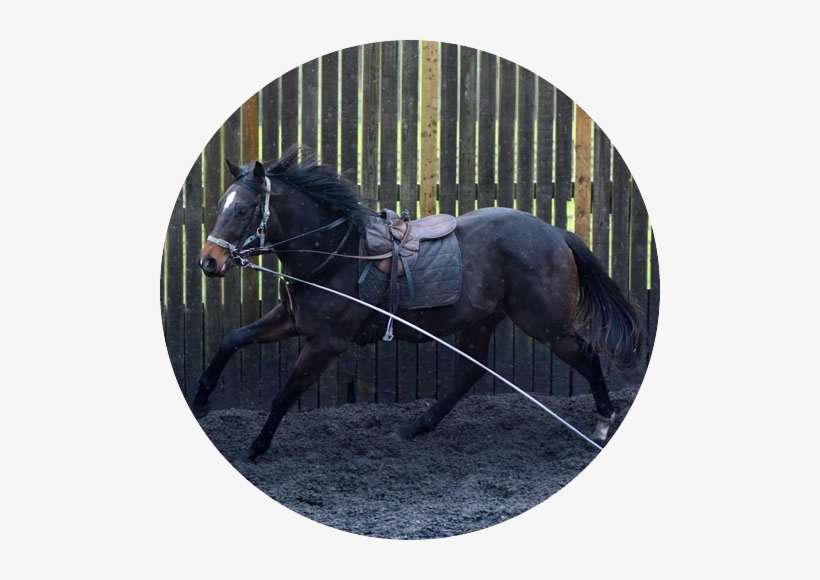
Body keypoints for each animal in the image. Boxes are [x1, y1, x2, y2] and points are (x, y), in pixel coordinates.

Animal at [194, 145, 643, 461]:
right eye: (220, 206)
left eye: (245, 210)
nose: (209, 262)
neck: (336, 253)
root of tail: (554, 232)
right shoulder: (290, 320)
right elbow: (232, 339)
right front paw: (200, 401)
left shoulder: (326, 343)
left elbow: (284, 394)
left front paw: (257, 447)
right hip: (483, 319)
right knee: (470, 372)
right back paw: (417, 428)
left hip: (546, 323)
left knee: (586, 354)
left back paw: (603, 422)